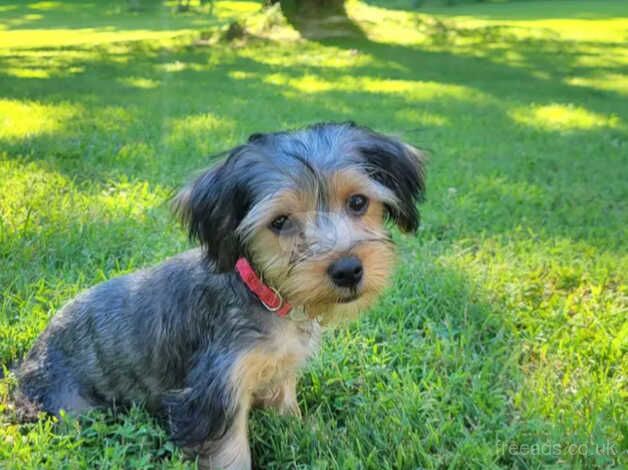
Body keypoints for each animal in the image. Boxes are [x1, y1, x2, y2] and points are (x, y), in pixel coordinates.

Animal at [15, 123, 426, 468]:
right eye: (279, 222)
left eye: (358, 202)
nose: (348, 270)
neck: (267, 295)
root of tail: (23, 364)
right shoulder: (213, 392)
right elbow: (229, 453)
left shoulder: (278, 375)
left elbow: (288, 410)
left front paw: (310, 435)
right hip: (69, 408)